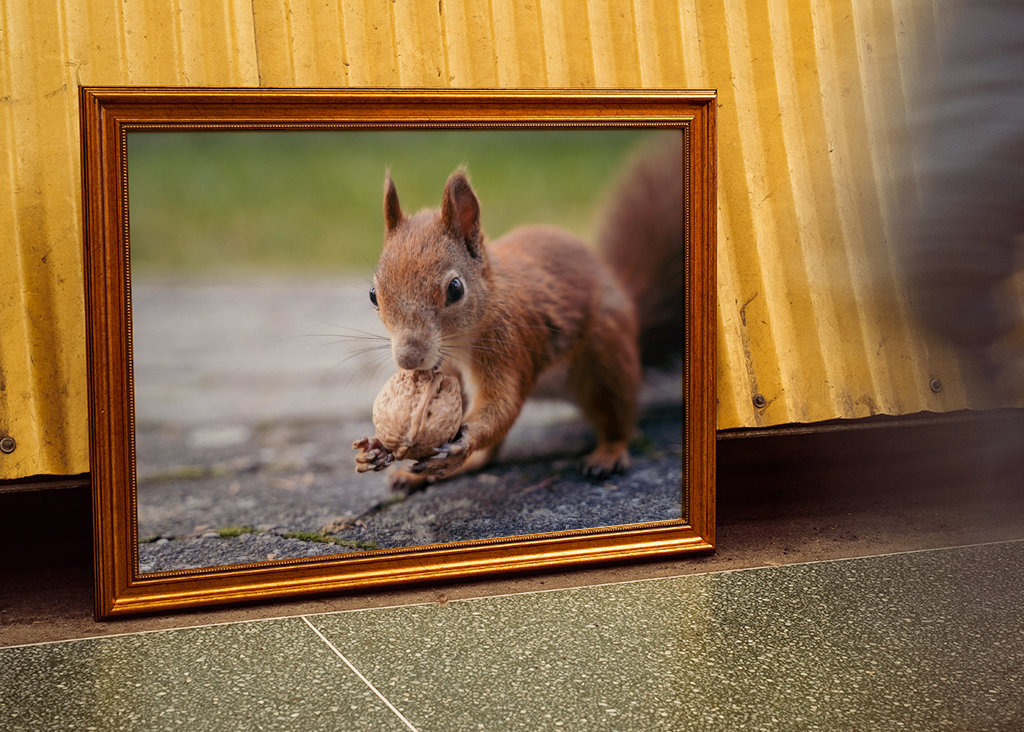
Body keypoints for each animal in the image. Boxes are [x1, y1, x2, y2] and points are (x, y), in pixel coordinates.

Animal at [354, 132, 683, 489]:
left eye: (455, 289)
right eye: (373, 295)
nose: (408, 360)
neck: (461, 342)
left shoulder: (508, 344)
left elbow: (502, 405)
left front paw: (462, 443)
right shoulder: (449, 372)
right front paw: (377, 447)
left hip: (607, 356)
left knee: (618, 418)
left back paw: (608, 454)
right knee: (491, 457)